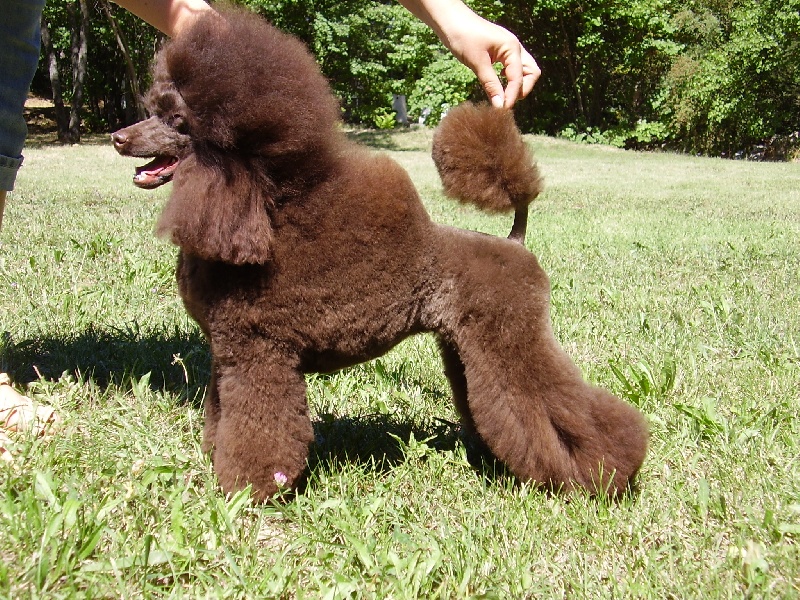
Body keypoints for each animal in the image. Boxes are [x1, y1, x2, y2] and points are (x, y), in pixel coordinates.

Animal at [112, 8, 648, 501]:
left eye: (177, 122)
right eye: (154, 110)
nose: (119, 137)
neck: (257, 212)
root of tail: (514, 241)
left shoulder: (259, 354)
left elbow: (259, 430)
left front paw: (251, 491)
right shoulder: (228, 356)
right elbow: (221, 415)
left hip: (509, 336)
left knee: (554, 402)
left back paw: (599, 476)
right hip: (465, 346)